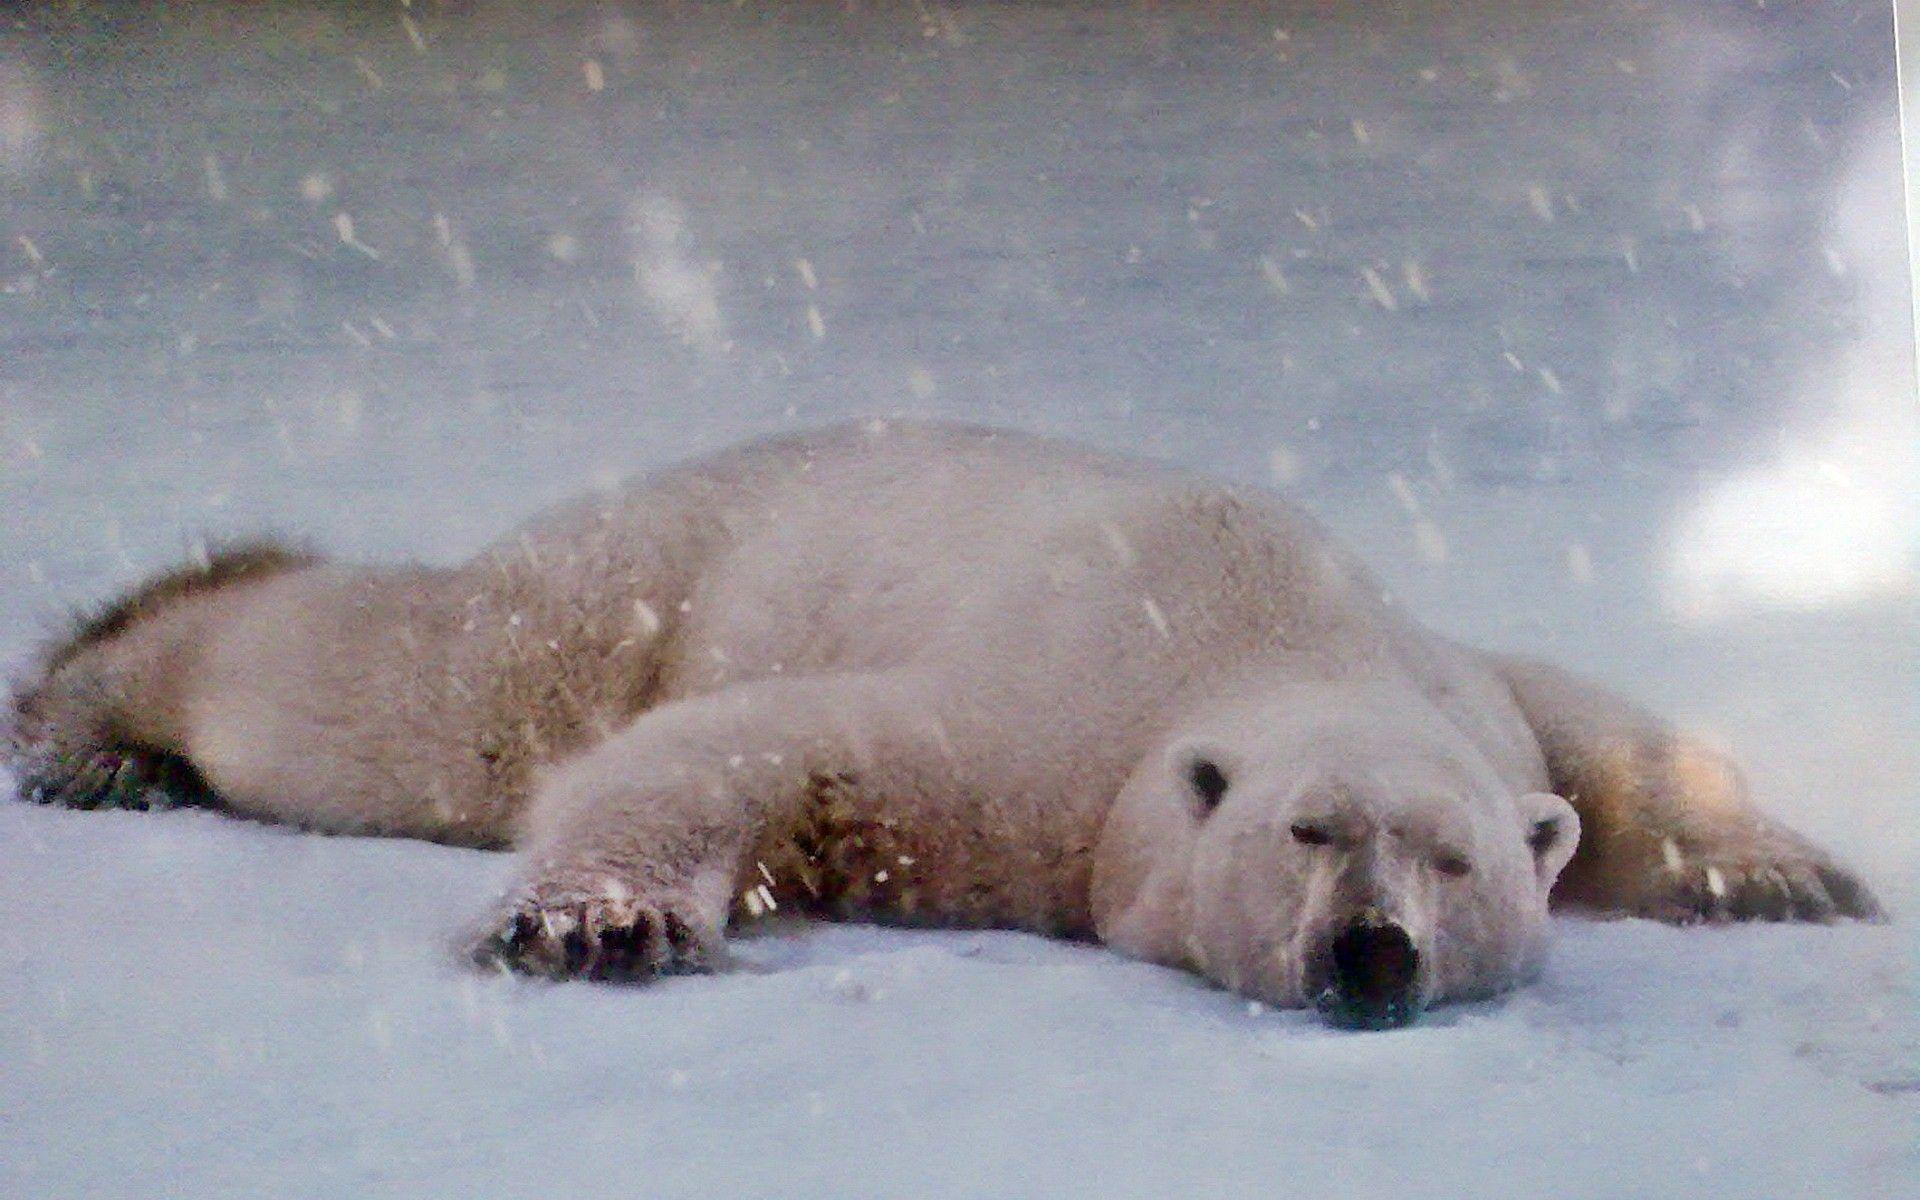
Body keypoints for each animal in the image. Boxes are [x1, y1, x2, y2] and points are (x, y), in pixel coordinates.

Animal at [6, 421, 1881, 1029]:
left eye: (1459, 862)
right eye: (1309, 834)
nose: (1372, 953)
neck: (1284, 634)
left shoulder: (1473, 693)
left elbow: (1603, 723)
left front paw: (1796, 880)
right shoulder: (1047, 743)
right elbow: (766, 744)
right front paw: (596, 926)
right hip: (652, 569)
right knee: (420, 693)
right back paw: (93, 712)